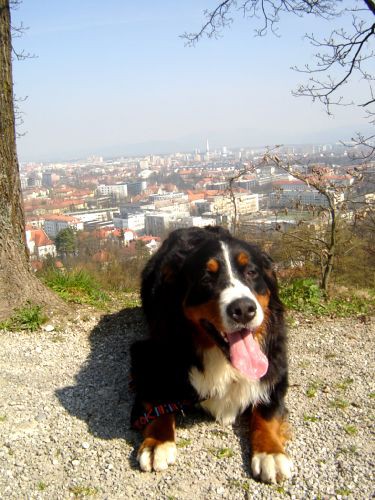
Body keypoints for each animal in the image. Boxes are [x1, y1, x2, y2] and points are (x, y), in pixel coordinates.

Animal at [131, 228, 292, 484]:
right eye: (206, 278)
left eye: (251, 272)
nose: (244, 309)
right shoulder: (146, 358)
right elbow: (158, 402)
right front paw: (158, 442)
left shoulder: (275, 365)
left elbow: (267, 410)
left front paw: (271, 452)